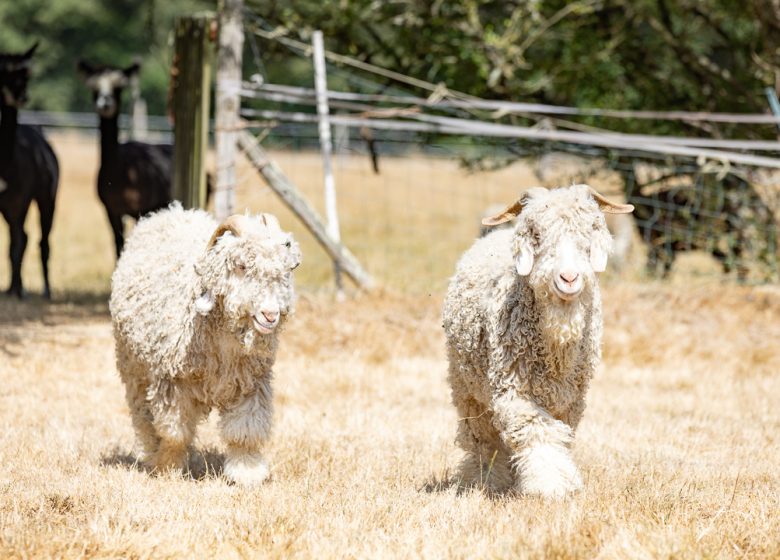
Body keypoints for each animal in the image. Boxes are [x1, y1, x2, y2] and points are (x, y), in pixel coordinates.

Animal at [109, 203, 302, 484]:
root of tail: (169, 211)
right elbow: (175, 433)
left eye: (286, 270)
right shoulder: (171, 383)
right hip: (133, 367)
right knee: (143, 416)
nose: (270, 315)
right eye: (241, 265)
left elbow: (245, 431)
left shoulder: (251, 383)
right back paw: (151, 453)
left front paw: (246, 473)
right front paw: (168, 467)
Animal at [442, 184, 632, 498]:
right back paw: (486, 479)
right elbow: (535, 431)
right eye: (536, 234)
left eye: (589, 233)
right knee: (484, 439)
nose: (569, 278)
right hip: (466, 386)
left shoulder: (571, 399)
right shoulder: (513, 388)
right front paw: (549, 486)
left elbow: (558, 434)